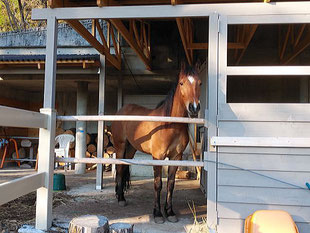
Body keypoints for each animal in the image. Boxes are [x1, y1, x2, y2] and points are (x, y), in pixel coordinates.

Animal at [111, 63, 201, 224]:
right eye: (181, 83)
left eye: (200, 83)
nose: (194, 108)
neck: (170, 124)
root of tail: (121, 110)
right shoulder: (158, 157)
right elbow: (158, 184)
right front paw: (157, 214)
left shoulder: (176, 157)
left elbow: (171, 184)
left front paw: (170, 212)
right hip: (120, 146)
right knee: (120, 169)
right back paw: (121, 198)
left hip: (131, 149)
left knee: (125, 167)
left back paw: (119, 195)